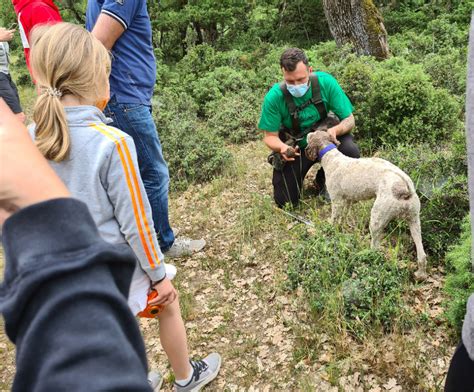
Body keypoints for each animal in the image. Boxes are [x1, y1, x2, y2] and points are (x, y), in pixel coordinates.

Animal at [306, 130, 428, 280]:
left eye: (311, 135)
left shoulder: (337, 201)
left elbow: (334, 221)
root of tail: (405, 187)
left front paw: (330, 232)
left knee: (375, 247)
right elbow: (343, 218)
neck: (332, 157)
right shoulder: (347, 202)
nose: (307, 133)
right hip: (414, 221)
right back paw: (420, 275)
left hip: (377, 219)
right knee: (422, 255)